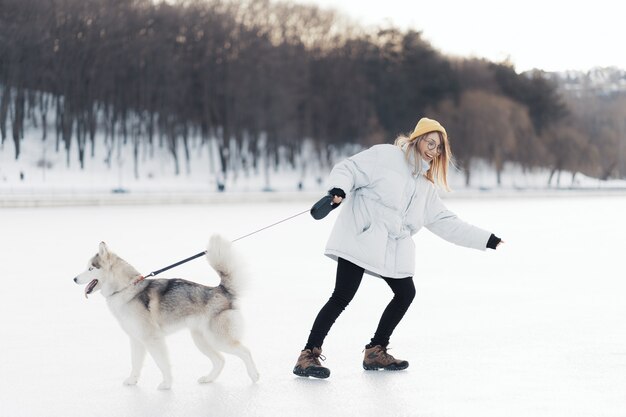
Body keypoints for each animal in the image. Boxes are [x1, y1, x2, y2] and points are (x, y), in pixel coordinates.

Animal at [73, 232, 258, 388]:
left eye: (90, 268)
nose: (74, 279)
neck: (126, 289)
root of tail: (221, 290)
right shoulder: (136, 339)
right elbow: (135, 363)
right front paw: (132, 381)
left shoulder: (152, 339)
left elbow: (162, 363)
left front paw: (167, 384)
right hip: (201, 340)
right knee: (220, 360)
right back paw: (208, 379)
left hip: (217, 339)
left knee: (246, 351)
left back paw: (254, 375)